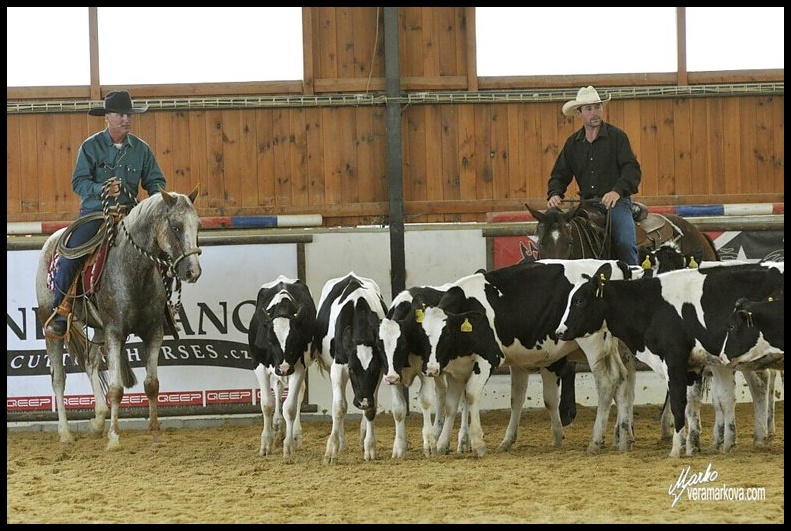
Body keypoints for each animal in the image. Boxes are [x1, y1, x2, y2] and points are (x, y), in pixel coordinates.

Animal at [35, 187, 203, 448]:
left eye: (198, 226)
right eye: (175, 227)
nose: (192, 271)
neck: (133, 270)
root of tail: (52, 241)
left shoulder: (153, 332)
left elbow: (152, 385)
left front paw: (155, 433)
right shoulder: (115, 332)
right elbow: (116, 388)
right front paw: (114, 437)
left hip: (98, 329)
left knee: (91, 364)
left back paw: (98, 420)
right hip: (52, 327)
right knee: (59, 378)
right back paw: (65, 432)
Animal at [251, 276, 318, 460]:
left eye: (294, 340)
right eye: (270, 340)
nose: (284, 368)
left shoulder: (299, 367)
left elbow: (290, 407)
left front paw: (288, 448)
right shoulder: (259, 365)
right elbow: (267, 404)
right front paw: (266, 443)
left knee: (298, 393)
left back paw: (294, 434)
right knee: (278, 387)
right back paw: (277, 427)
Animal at [316, 272, 390, 464]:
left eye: (373, 369)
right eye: (351, 369)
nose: (362, 401)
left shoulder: (379, 373)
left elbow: (371, 410)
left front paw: (369, 447)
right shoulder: (338, 367)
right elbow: (339, 407)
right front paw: (331, 450)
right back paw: (341, 442)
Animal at [420, 258, 636, 458]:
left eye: (446, 333)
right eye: (422, 335)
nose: (430, 369)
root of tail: (614, 263)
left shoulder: (489, 359)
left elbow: (472, 395)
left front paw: (478, 443)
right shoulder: (460, 368)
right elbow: (454, 405)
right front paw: (443, 445)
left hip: (594, 345)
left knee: (606, 383)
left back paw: (595, 441)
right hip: (616, 349)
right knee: (621, 379)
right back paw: (623, 439)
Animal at [556, 260, 784, 458]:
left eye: (579, 300)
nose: (560, 331)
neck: (652, 306)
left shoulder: (674, 360)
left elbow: (677, 403)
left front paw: (675, 450)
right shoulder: (692, 367)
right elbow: (691, 406)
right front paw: (691, 447)